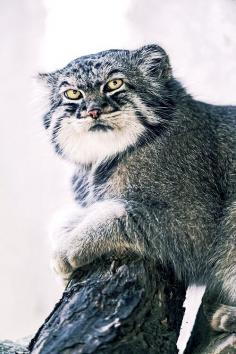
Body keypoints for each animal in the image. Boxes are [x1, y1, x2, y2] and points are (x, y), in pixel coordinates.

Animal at [39, 44, 236, 334]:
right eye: (73, 93)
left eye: (114, 83)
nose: (93, 111)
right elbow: (67, 216)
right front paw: (67, 229)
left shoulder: (193, 228)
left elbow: (120, 214)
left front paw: (69, 247)